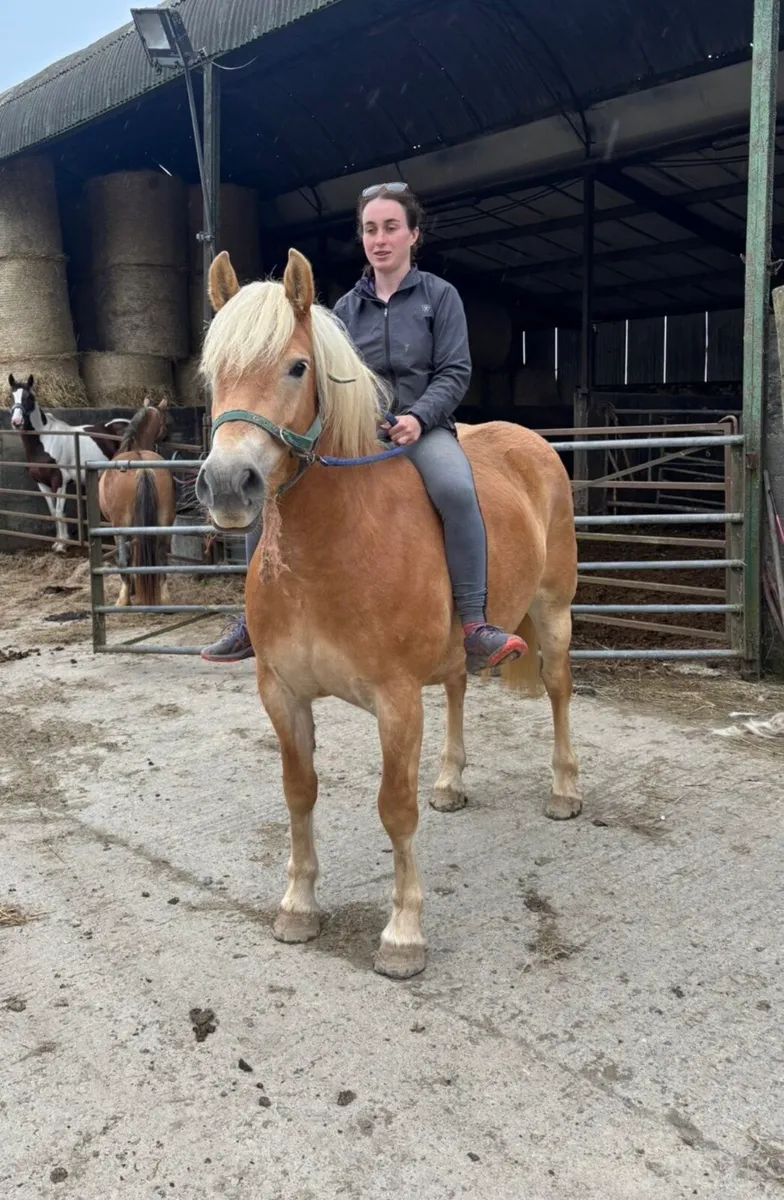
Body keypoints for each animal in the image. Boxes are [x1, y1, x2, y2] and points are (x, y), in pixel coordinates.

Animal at [7, 374, 128, 552]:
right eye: (11, 396)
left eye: (29, 397)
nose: (16, 422)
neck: (45, 440)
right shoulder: (42, 484)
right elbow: (53, 512)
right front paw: (58, 542)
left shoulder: (59, 481)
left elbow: (59, 512)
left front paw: (62, 545)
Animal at [98, 398, 175, 607]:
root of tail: (142, 468)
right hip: (165, 521)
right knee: (161, 555)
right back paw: (164, 598)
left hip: (120, 525)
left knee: (123, 557)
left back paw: (123, 599)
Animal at [195, 249, 581, 980]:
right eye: (211, 375)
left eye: (297, 367)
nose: (229, 484)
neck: (332, 546)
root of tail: (531, 443)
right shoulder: (281, 693)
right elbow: (299, 791)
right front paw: (298, 906)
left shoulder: (397, 701)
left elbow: (394, 810)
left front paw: (403, 935)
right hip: (463, 646)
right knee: (459, 683)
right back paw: (451, 782)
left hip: (554, 612)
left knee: (558, 690)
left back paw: (565, 792)